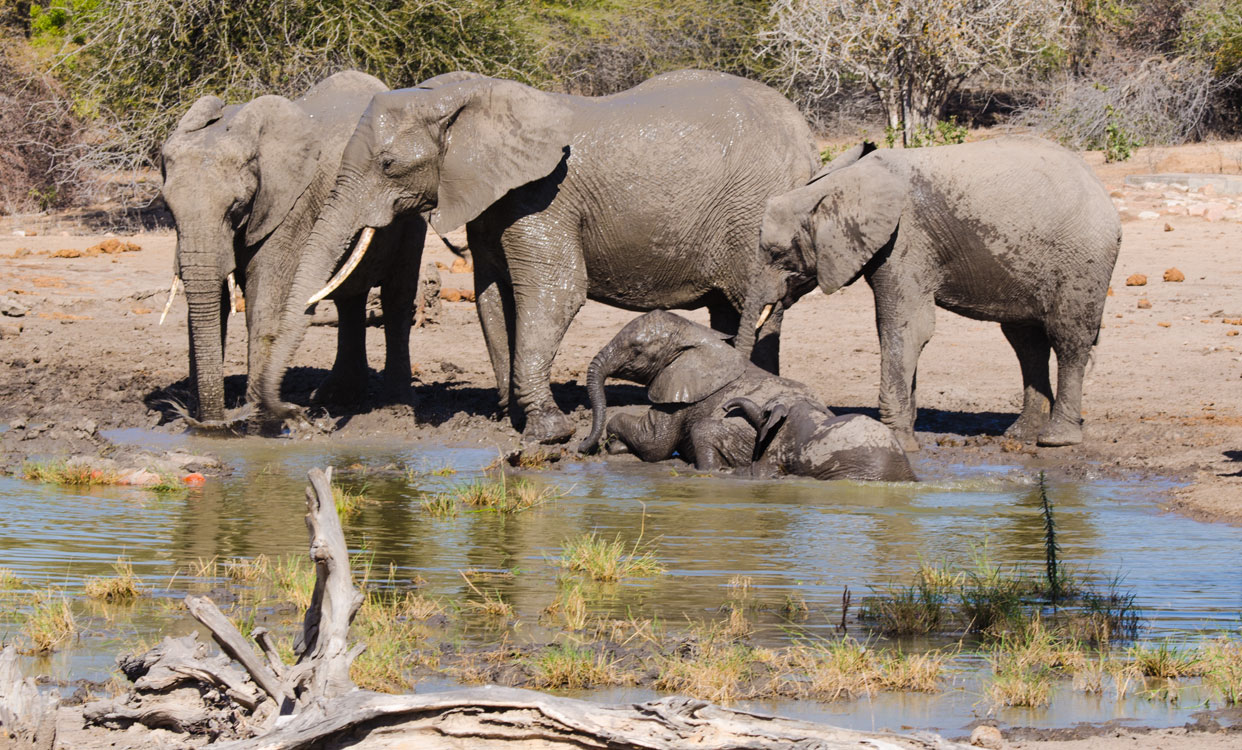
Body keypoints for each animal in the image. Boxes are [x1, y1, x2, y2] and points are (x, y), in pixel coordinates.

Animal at [160, 70, 425, 427]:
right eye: (167, 208)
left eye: (236, 206)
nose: (212, 424)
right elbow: (209, 307)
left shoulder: (293, 206)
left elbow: (266, 301)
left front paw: (259, 423)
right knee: (349, 300)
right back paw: (337, 398)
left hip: (411, 212)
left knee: (397, 297)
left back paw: (394, 407)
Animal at [261, 69, 818, 442]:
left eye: (389, 164)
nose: (302, 418)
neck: (466, 97)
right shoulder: (492, 199)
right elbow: (493, 297)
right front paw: (510, 416)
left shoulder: (542, 197)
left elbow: (555, 292)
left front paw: (546, 431)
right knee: (729, 311)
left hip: (760, 214)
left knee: (757, 308)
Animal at [578, 310, 818, 471]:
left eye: (636, 351)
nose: (582, 445)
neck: (697, 334)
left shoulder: (680, 400)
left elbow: (653, 444)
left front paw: (615, 443)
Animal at [735, 136, 1122, 451]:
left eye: (776, 254)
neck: (838, 185)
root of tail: (1100, 189)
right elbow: (904, 331)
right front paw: (906, 435)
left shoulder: (906, 239)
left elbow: (907, 329)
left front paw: (900, 443)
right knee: (1027, 343)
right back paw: (1020, 435)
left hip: (1081, 259)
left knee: (1067, 338)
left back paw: (1057, 440)